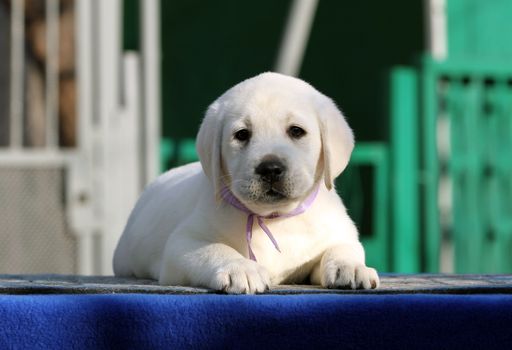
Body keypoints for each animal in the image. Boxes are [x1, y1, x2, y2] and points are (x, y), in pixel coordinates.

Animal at [116, 73, 380, 292]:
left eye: (296, 131)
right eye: (242, 134)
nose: (270, 169)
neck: (273, 219)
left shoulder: (340, 232)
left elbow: (344, 247)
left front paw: (351, 267)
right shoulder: (183, 242)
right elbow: (215, 249)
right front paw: (240, 268)